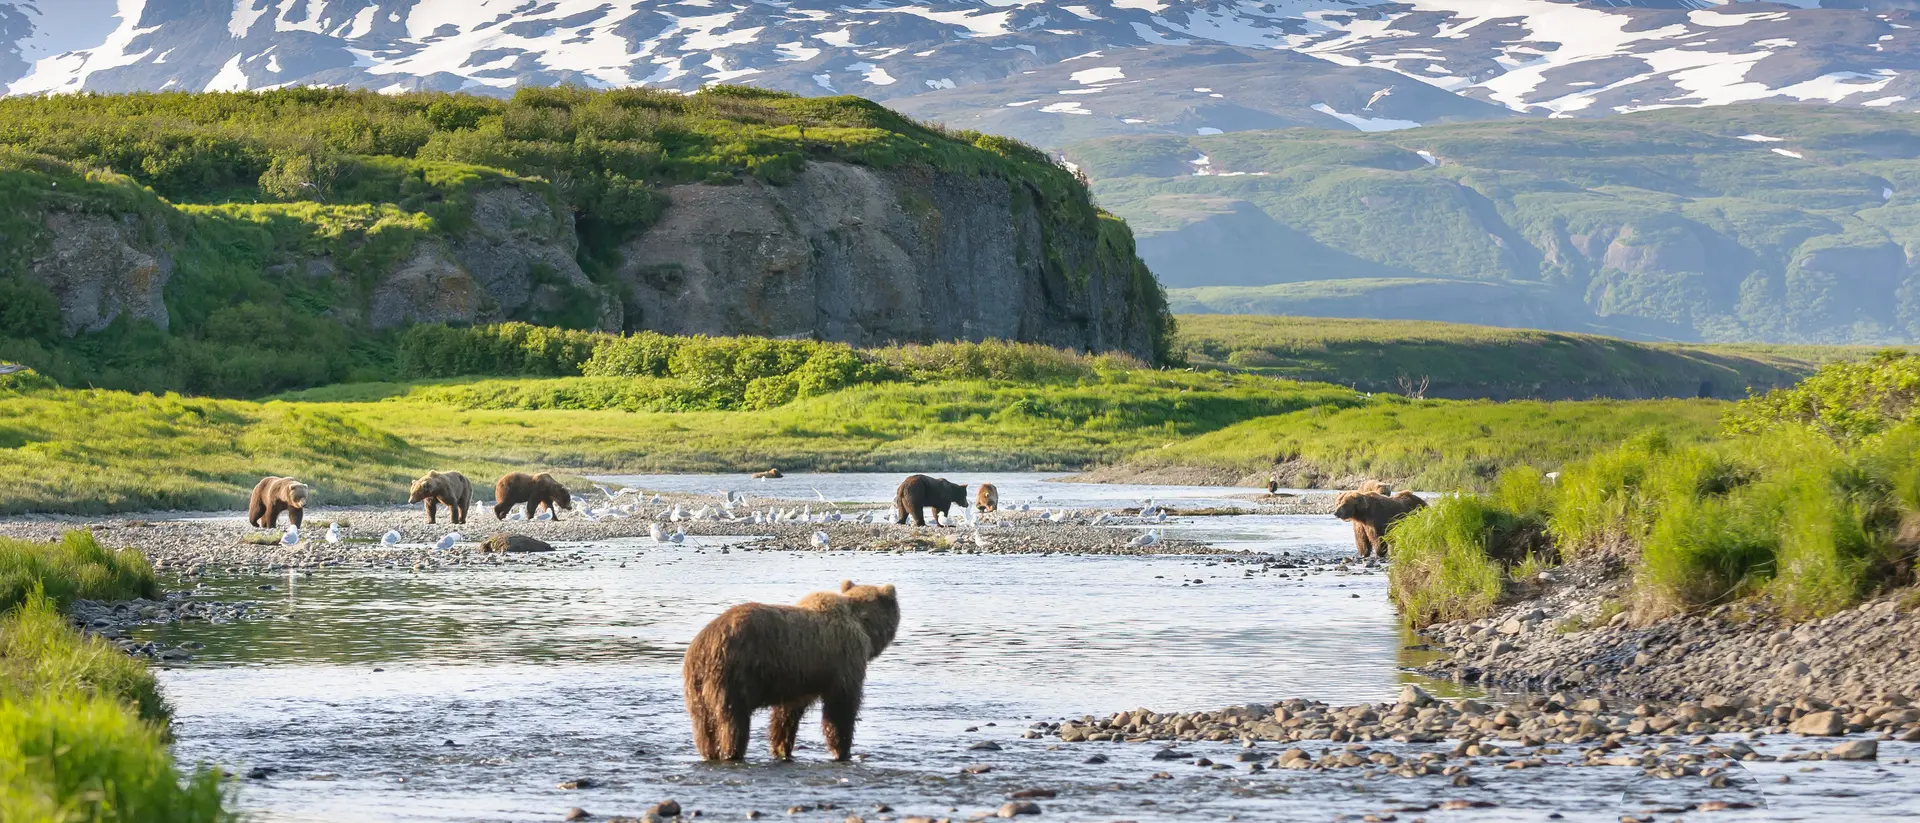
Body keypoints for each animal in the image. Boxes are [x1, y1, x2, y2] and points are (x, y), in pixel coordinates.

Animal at [682, 580, 900, 762]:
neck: (863, 625)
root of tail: (703, 645)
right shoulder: (845, 660)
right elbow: (840, 709)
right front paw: (843, 751)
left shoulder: (799, 680)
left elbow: (786, 716)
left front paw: (782, 749)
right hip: (733, 675)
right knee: (732, 722)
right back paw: (732, 752)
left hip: (697, 687)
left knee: (703, 727)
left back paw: (709, 753)